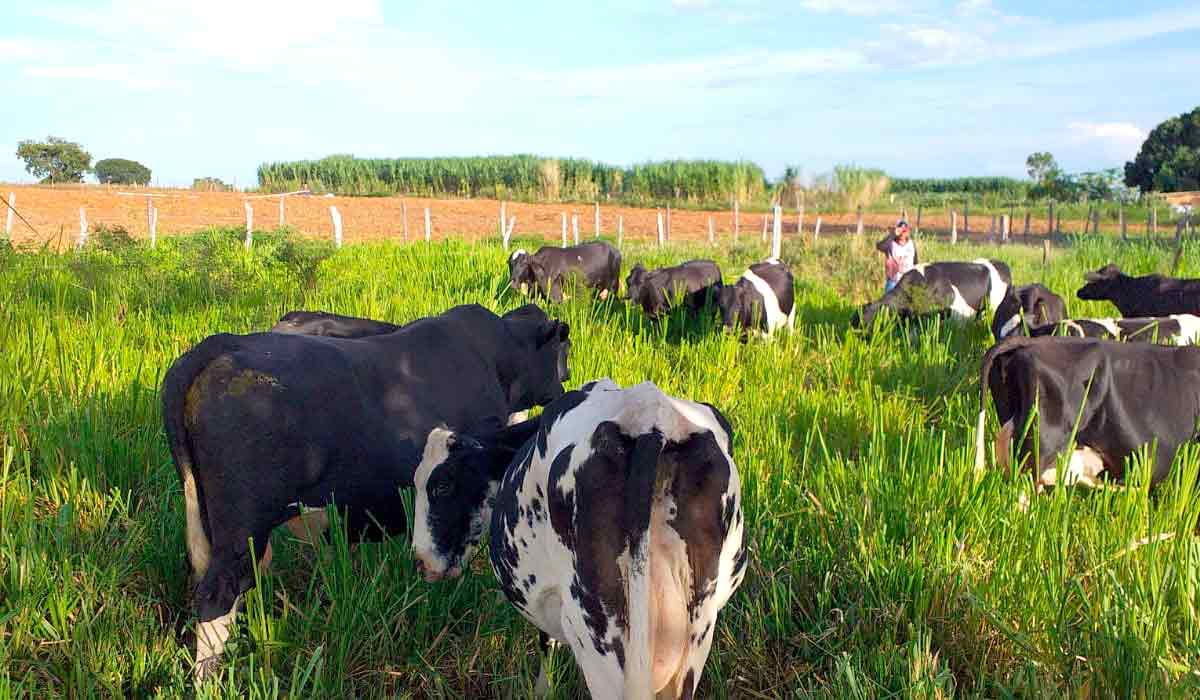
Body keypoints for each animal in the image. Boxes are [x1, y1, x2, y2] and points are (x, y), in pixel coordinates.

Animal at [417, 381, 744, 696]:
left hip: (598, 638)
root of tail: (650, 418)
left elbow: (545, 644)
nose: (420, 560)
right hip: (694, 635)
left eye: (442, 486)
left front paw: (542, 689)